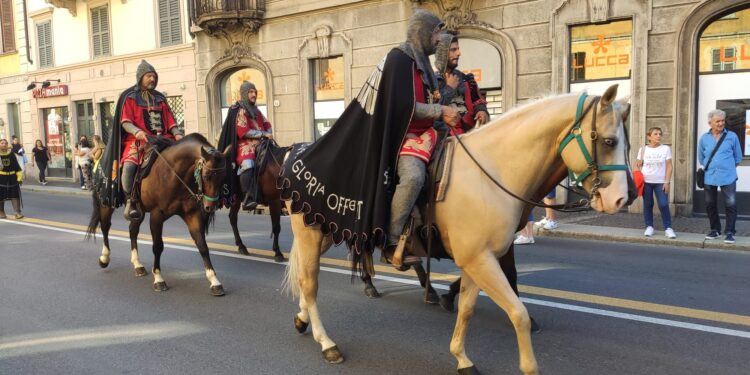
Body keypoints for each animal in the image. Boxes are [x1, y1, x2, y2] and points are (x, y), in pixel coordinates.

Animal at [86, 134, 231, 296]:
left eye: (223, 177)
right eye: (206, 175)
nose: (209, 207)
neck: (174, 173)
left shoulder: (191, 214)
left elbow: (202, 246)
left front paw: (214, 281)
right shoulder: (157, 215)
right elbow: (157, 246)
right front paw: (158, 278)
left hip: (139, 212)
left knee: (132, 231)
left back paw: (137, 264)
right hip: (106, 202)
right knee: (105, 226)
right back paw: (104, 258)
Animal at [282, 85, 636, 375]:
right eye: (609, 141)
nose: (624, 197)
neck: (492, 172)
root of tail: (294, 153)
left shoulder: (479, 260)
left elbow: (467, 309)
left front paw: (462, 357)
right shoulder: (481, 260)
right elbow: (518, 313)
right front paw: (528, 365)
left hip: (327, 231)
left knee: (306, 280)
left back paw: (302, 319)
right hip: (311, 234)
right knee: (309, 284)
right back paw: (327, 343)